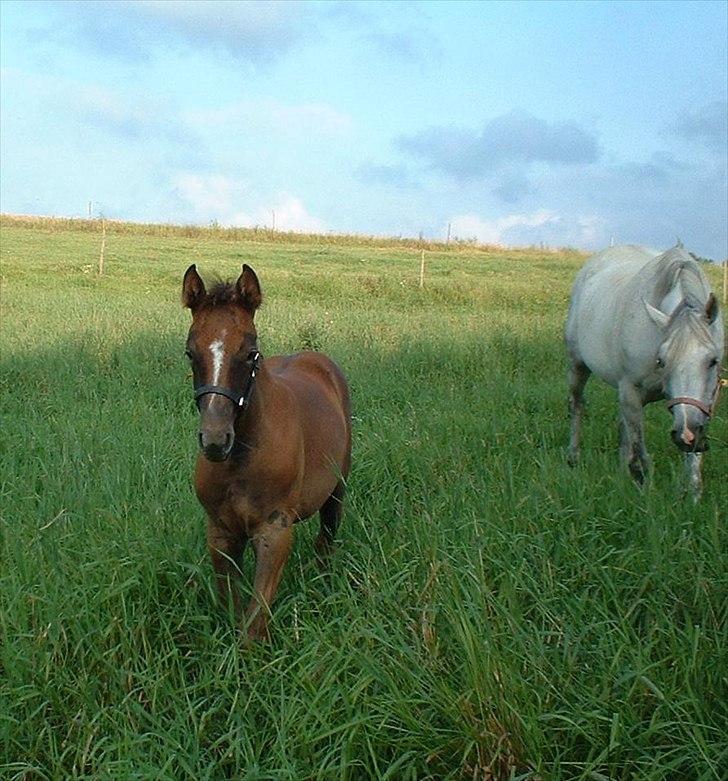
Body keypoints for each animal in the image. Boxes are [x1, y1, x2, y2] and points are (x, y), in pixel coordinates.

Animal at [182, 262, 352, 640]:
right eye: (190, 352)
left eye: (250, 353)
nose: (215, 440)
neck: (242, 459)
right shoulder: (221, 532)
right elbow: (233, 608)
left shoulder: (274, 533)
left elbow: (254, 623)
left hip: (337, 488)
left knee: (327, 540)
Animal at [564, 244, 724, 496]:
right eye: (662, 361)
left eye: (713, 360)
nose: (685, 435)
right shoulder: (631, 390)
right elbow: (640, 451)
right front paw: (645, 492)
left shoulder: (703, 404)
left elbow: (692, 462)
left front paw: (692, 495)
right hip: (577, 366)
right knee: (577, 406)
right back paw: (573, 456)